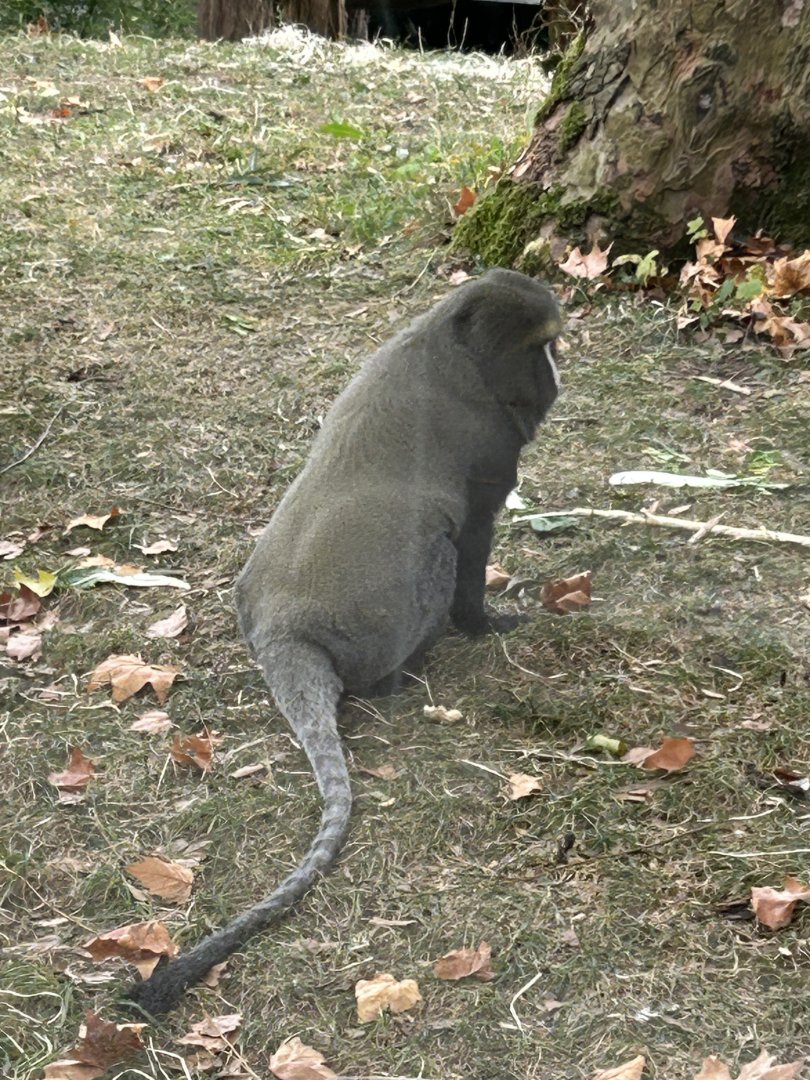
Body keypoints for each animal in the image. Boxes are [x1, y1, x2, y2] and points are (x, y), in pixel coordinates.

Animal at [126, 268, 562, 1015]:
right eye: (538, 347)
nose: (555, 381)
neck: (447, 344)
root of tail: (282, 633)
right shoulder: (487, 463)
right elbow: (474, 548)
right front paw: (486, 625)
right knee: (438, 551)